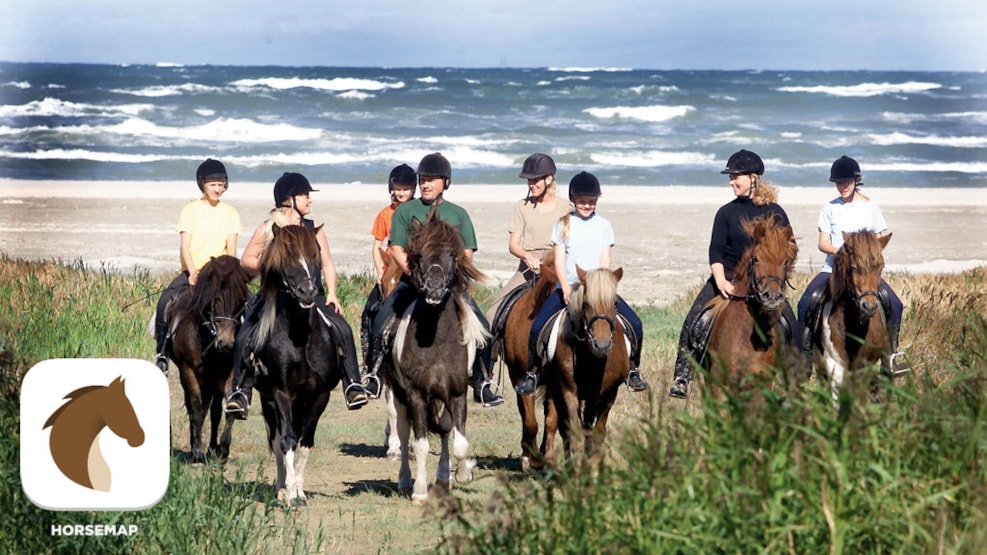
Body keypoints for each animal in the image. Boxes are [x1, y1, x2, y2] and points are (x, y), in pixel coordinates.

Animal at [166, 256, 251, 464]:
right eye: (217, 299)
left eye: (241, 301)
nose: (226, 344)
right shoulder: (188, 370)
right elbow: (196, 407)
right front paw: (197, 451)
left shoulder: (227, 373)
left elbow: (226, 409)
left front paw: (223, 450)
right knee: (196, 406)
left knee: (213, 411)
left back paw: (212, 447)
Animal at [536, 264, 628, 464]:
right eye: (586, 303)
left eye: (615, 303)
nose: (601, 345)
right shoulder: (569, 391)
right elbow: (575, 435)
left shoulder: (607, 394)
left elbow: (596, 434)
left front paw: (592, 467)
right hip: (556, 389)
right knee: (560, 425)